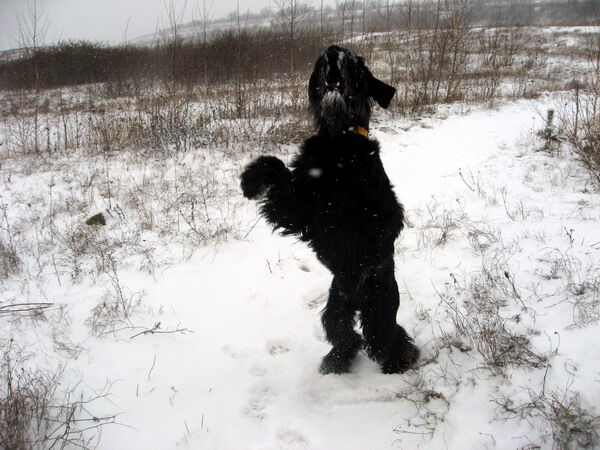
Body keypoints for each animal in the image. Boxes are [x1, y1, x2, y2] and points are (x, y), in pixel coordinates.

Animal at [240, 45, 419, 374]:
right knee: (347, 336)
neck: (339, 139)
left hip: (378, 307)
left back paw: (398, 360)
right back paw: (335, 361)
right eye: (321, 60)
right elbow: (277, 169)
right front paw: (251, 179)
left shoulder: (366, 213)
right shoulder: (300, 207)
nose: (333, 51)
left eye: (356, 63)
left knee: (386, 336)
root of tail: (355, 300)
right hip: (336, 308)